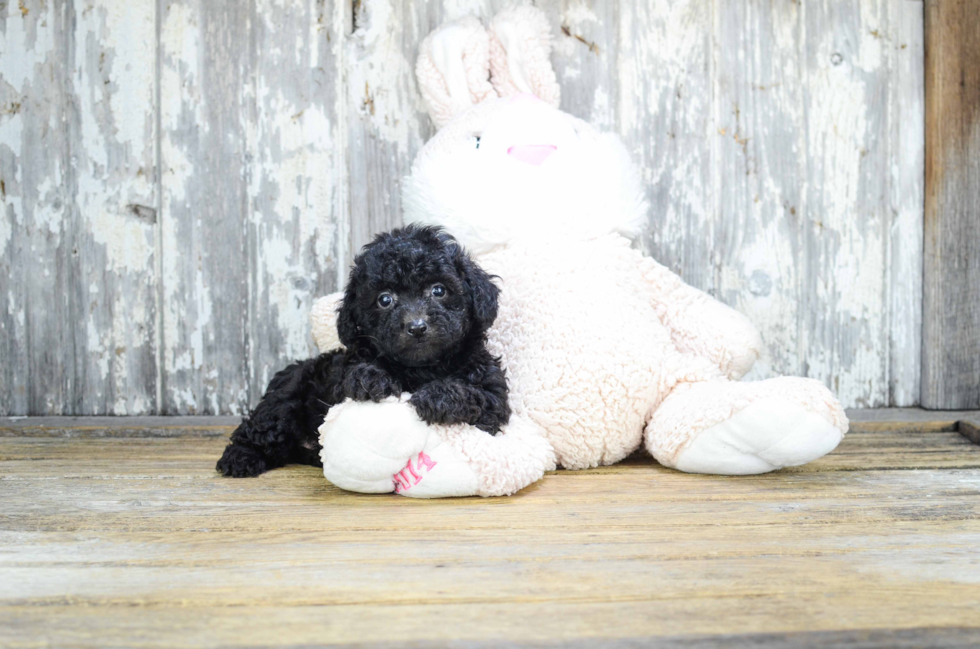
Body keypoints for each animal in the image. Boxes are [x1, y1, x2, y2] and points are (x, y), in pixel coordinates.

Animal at [216, 227, 512, 476]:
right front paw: (372, 379)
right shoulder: (340, 382)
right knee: (258, 428)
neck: (422, 369)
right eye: (385, 299)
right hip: (284, 400)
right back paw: (239, 458)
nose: (416, 326)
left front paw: (438, 396)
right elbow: (355, 374)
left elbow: (474, 395)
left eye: (438, 290)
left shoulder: (494, 398)